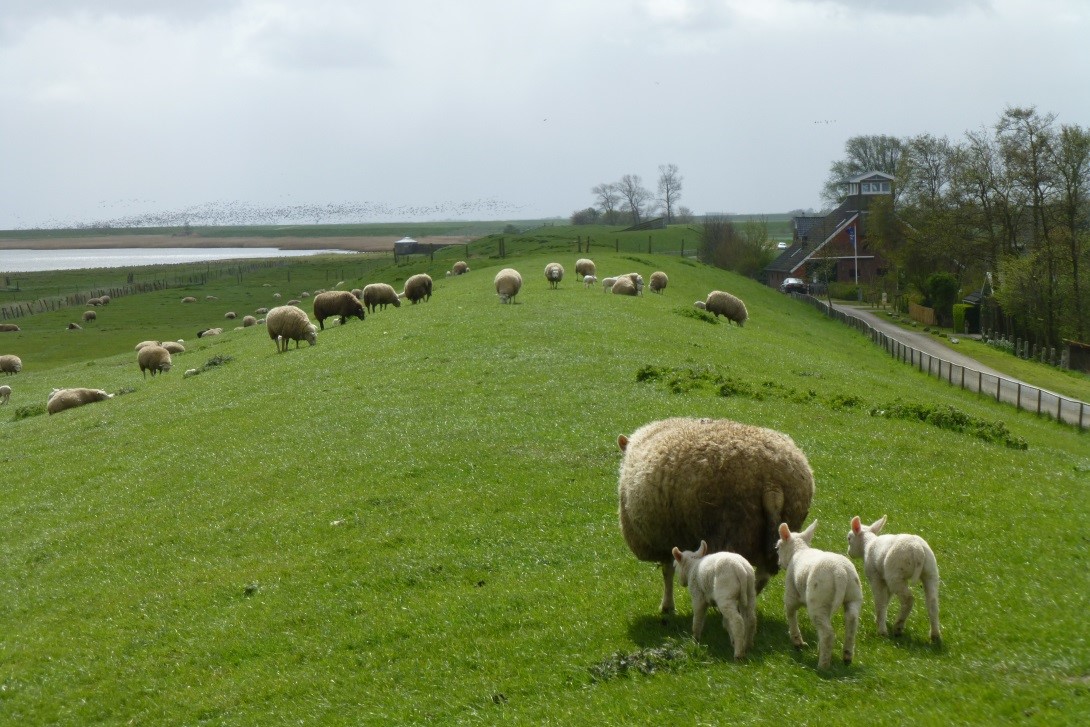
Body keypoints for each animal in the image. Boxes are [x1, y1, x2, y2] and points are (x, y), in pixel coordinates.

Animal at [619, 414, 815, 614]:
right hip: (778, 528)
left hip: (733, 529)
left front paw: (667, 606)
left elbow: (668, 571)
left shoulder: (663, 538)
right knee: (762, 575)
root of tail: (772, 483)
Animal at [780, 523, 863, 671]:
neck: (798, 550)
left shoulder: (791, 592)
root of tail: (840, 572)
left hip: (818, 600)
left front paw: (797, 642)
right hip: (854, 594)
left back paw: (823, 666)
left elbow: (790, 613)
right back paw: (847, 656)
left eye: (777, 547)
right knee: (852, 621)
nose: (778, 563)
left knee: (827, 633)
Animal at [845, 514, 941, 645]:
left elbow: (880, 601)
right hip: (930, 571)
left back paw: (898, 627)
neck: (868, 544)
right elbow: (887, 599)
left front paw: (881, 629)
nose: (849, 553)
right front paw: (879, 619)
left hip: (895, 575)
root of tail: (918, 550)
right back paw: (935, 635)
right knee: (932, 602)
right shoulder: (885, 578)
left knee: (908, 599)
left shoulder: (876, 577)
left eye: (849, 538)